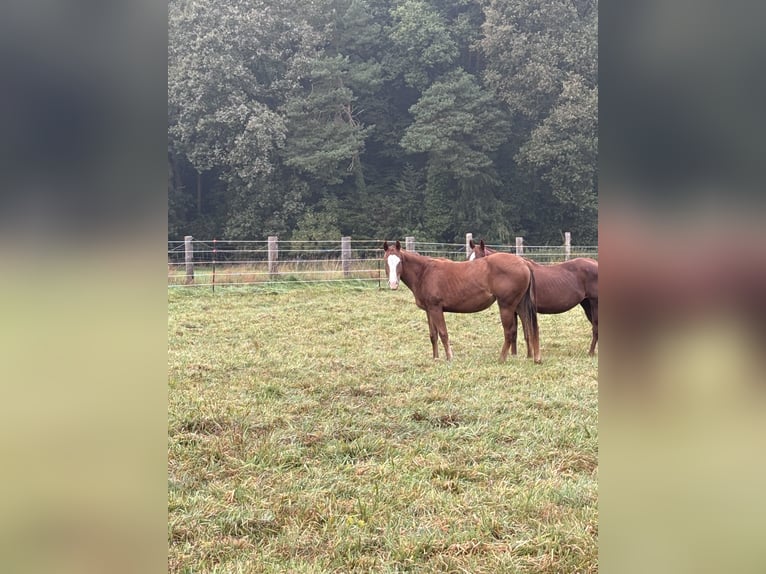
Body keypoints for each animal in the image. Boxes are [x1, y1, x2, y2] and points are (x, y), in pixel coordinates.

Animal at [383, 240, 541, 363]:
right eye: (385, 261)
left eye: (399, 261)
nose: (393, 284)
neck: (424, 272)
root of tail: (524, 263)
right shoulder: (429, 310)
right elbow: (433, 335)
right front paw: (435, 358)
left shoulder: (436, 308)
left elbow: (443, 333)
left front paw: (449, 358)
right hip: (519, 306)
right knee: (527, 328)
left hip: (506, 306)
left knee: (509, 332)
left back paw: (501, 359)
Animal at [469, 239, 599, 356]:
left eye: (478, 260)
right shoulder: (513, 309)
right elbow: (514, 332)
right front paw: (514, 355)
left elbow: (525, 331)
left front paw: (528, 355)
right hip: (586, 304)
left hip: (594, 303)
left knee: (596, 327)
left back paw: (591, 352)